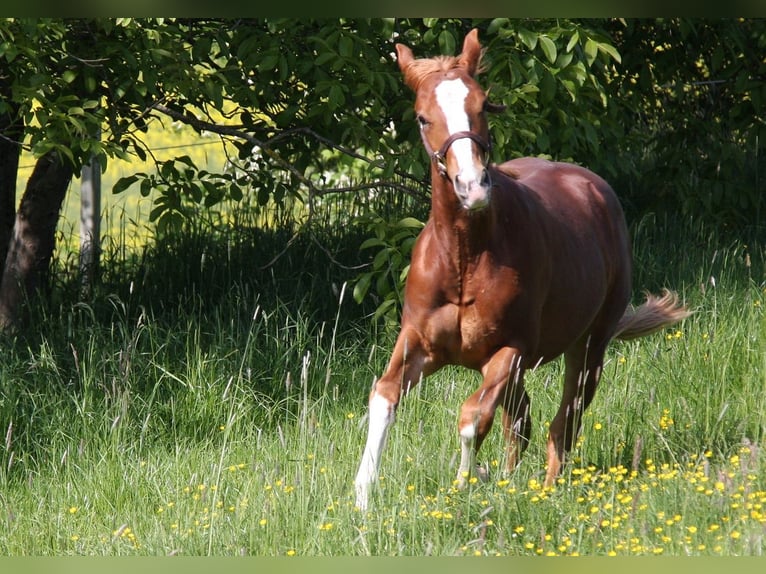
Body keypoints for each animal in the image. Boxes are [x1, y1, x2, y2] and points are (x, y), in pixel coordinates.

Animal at [356, 29, 692, 510]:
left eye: (482, 105)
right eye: (422, 118)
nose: (472, 187)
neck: (464, 258)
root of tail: (593, 185)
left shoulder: (511, 351)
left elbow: (473, 417)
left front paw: (466, 481)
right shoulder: (419, 344)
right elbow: (383, 397)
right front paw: (362, 498)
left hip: (589, 346)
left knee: (563, 421)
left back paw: (545, 490)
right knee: (524, 421)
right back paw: (511, 481)